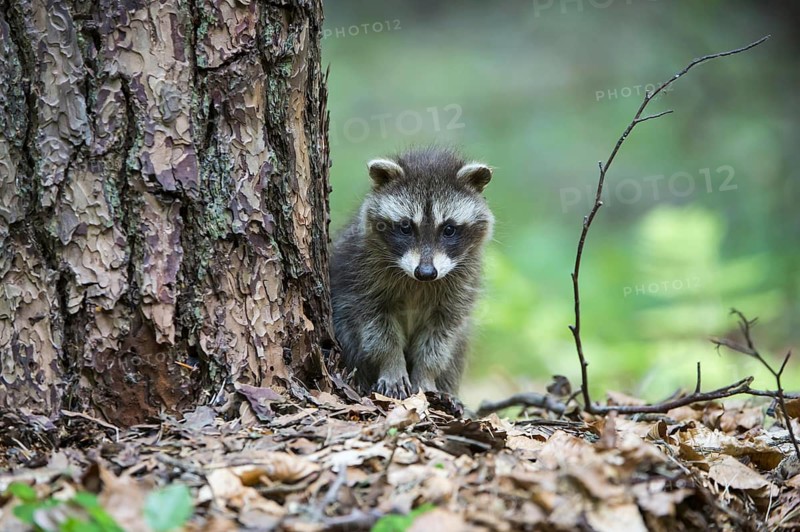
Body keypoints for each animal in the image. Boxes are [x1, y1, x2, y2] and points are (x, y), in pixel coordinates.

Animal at [330, 147, 494, 399]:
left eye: (449, 229)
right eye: (406, 227)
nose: (426, 272)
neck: (419, 283)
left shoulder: (461, 284)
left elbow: (441, 338)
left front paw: (426, 375)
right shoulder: (361, 275)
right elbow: (377, 330)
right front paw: (392, 366)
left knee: (458, 348)